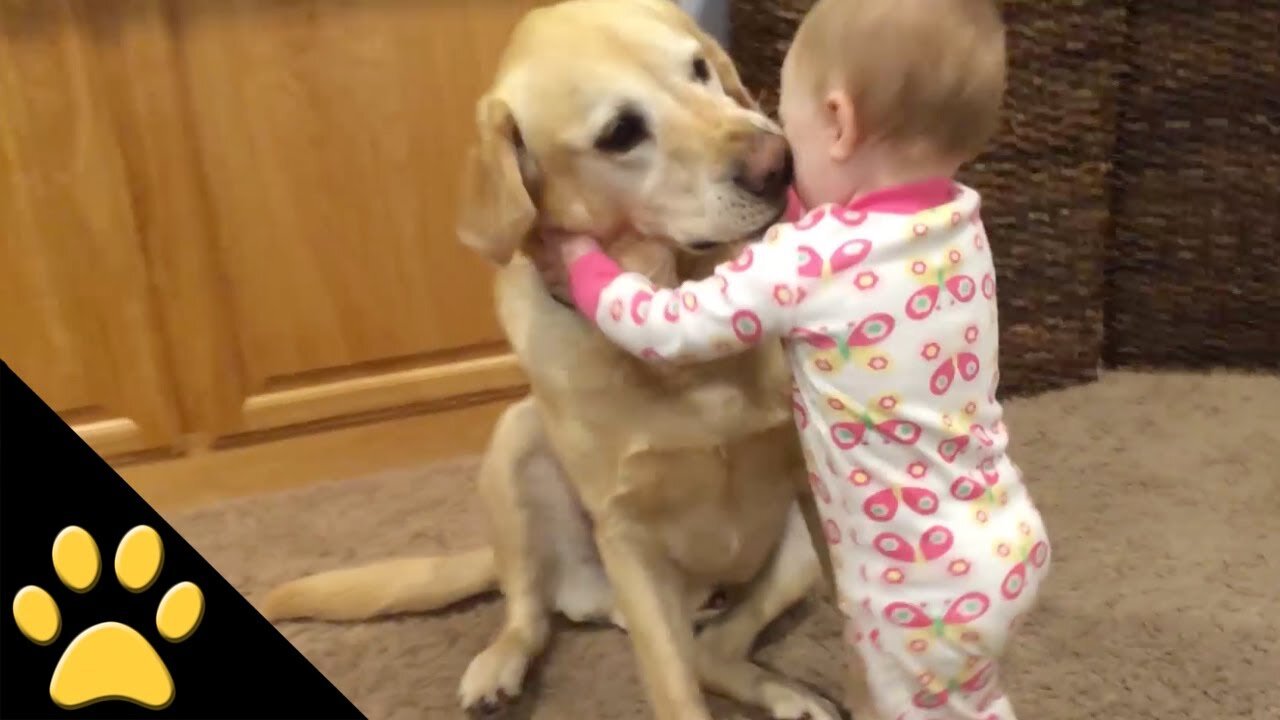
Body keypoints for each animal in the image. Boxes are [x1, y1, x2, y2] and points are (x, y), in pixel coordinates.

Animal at [259, 2, 839, 712]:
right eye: (620, 133)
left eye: (699, 67)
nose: (777, 161)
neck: (676, 312)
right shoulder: (626, 536)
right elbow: (672, 689)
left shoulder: (817, 484)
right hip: (516, 443)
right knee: (534, 609)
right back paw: (499, 664)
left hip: (790, 558)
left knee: (710, 649)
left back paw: (788, 694)